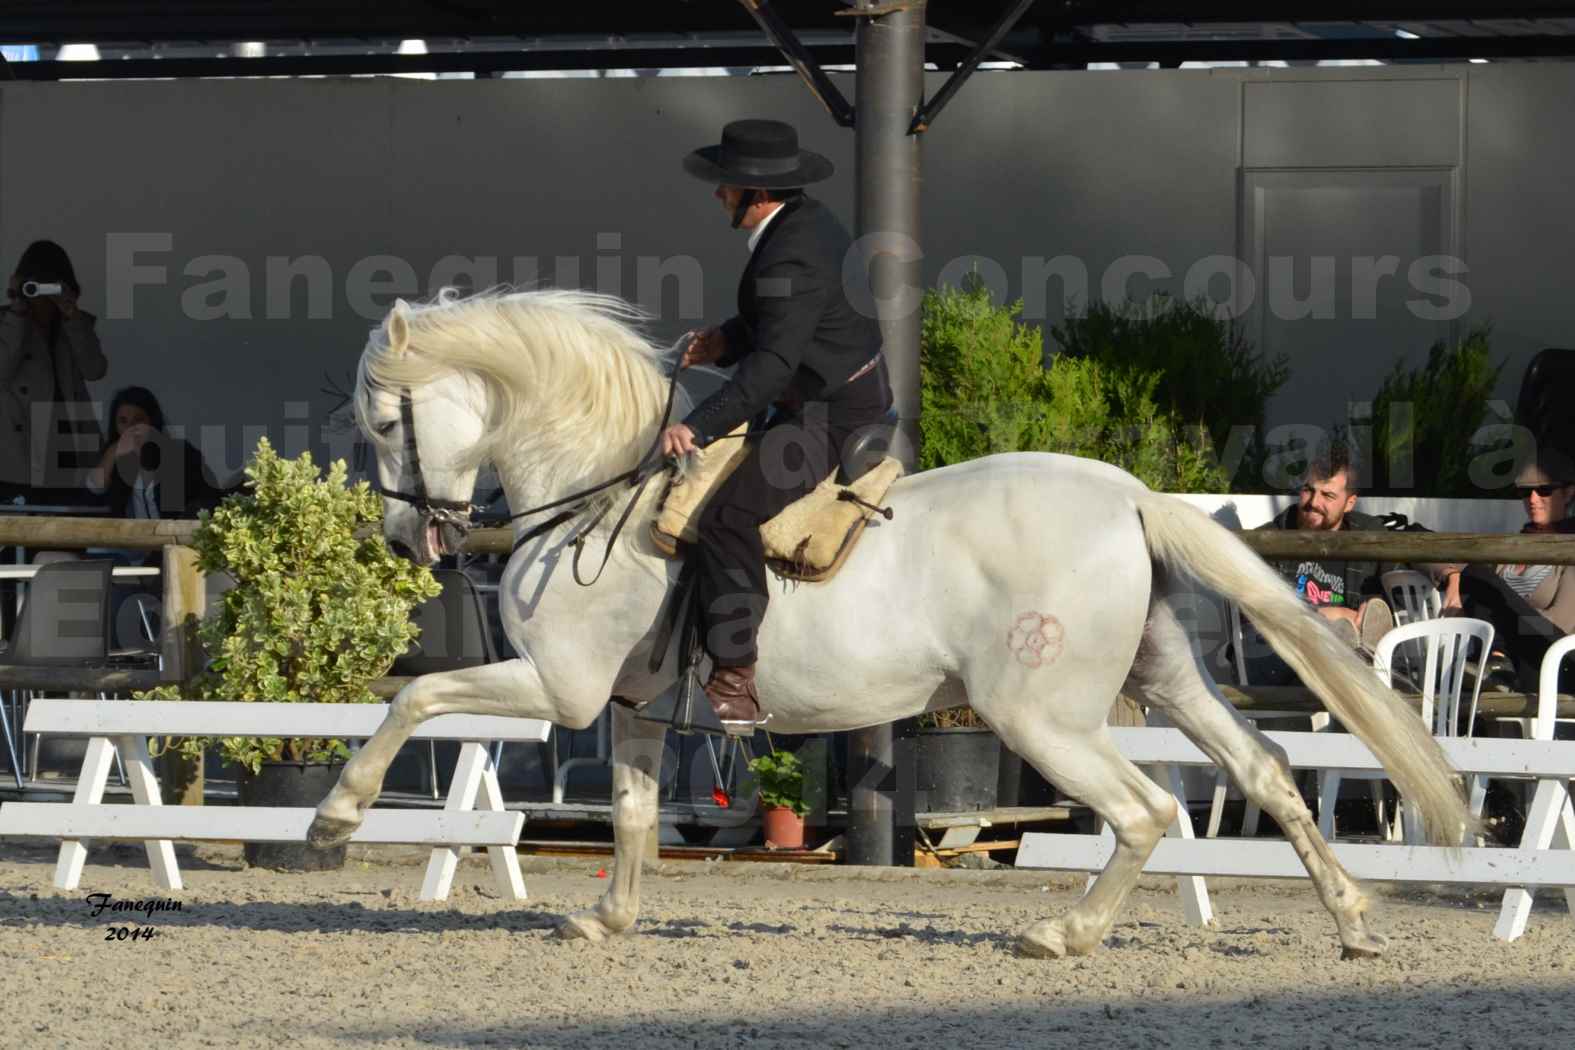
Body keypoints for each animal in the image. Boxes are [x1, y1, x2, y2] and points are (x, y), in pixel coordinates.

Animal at [310, 288, 1474, 963]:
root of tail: (1131, 496)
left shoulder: (560, 686)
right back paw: (1353, 923)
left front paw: (335, 819)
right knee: (1264, 771)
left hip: (1040, 717)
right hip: (1167, 681)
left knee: (1145, 811)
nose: (404, 537)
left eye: (381, 424)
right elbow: (635, 814)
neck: (605, 491)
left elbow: (415, 696)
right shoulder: (630, 705)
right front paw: (608, 919)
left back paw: (1063, 933)